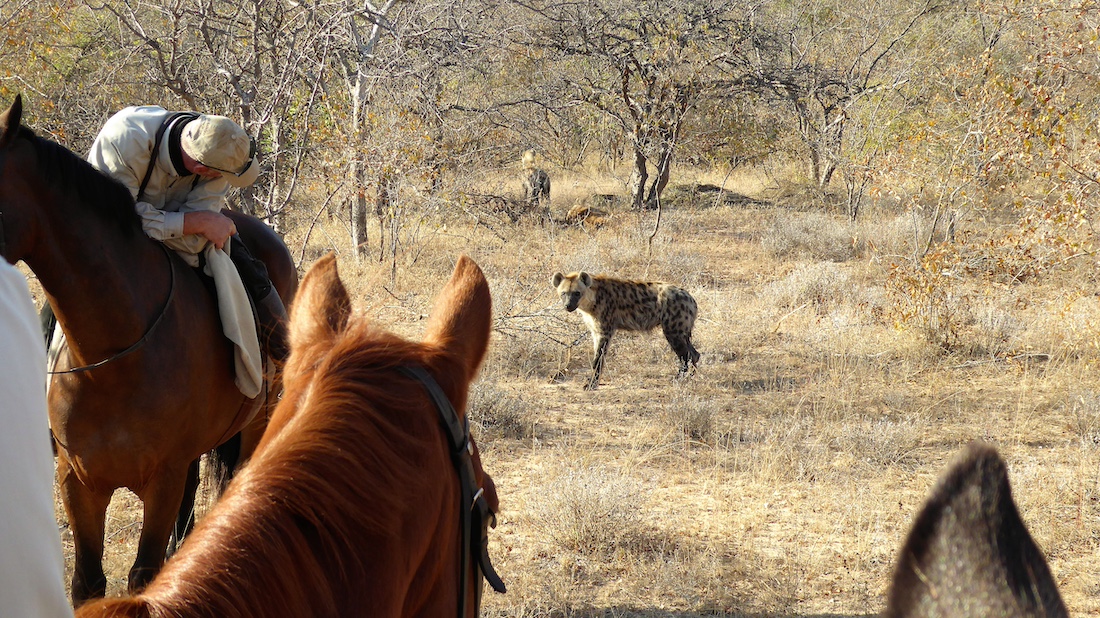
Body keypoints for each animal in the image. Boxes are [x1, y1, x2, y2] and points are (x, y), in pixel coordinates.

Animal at [0, 96, 297, 602]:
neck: (110, 360)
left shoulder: (162, 479)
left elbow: (144, 575)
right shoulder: (77, 481)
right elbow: (87, 583)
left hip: (257, 423)